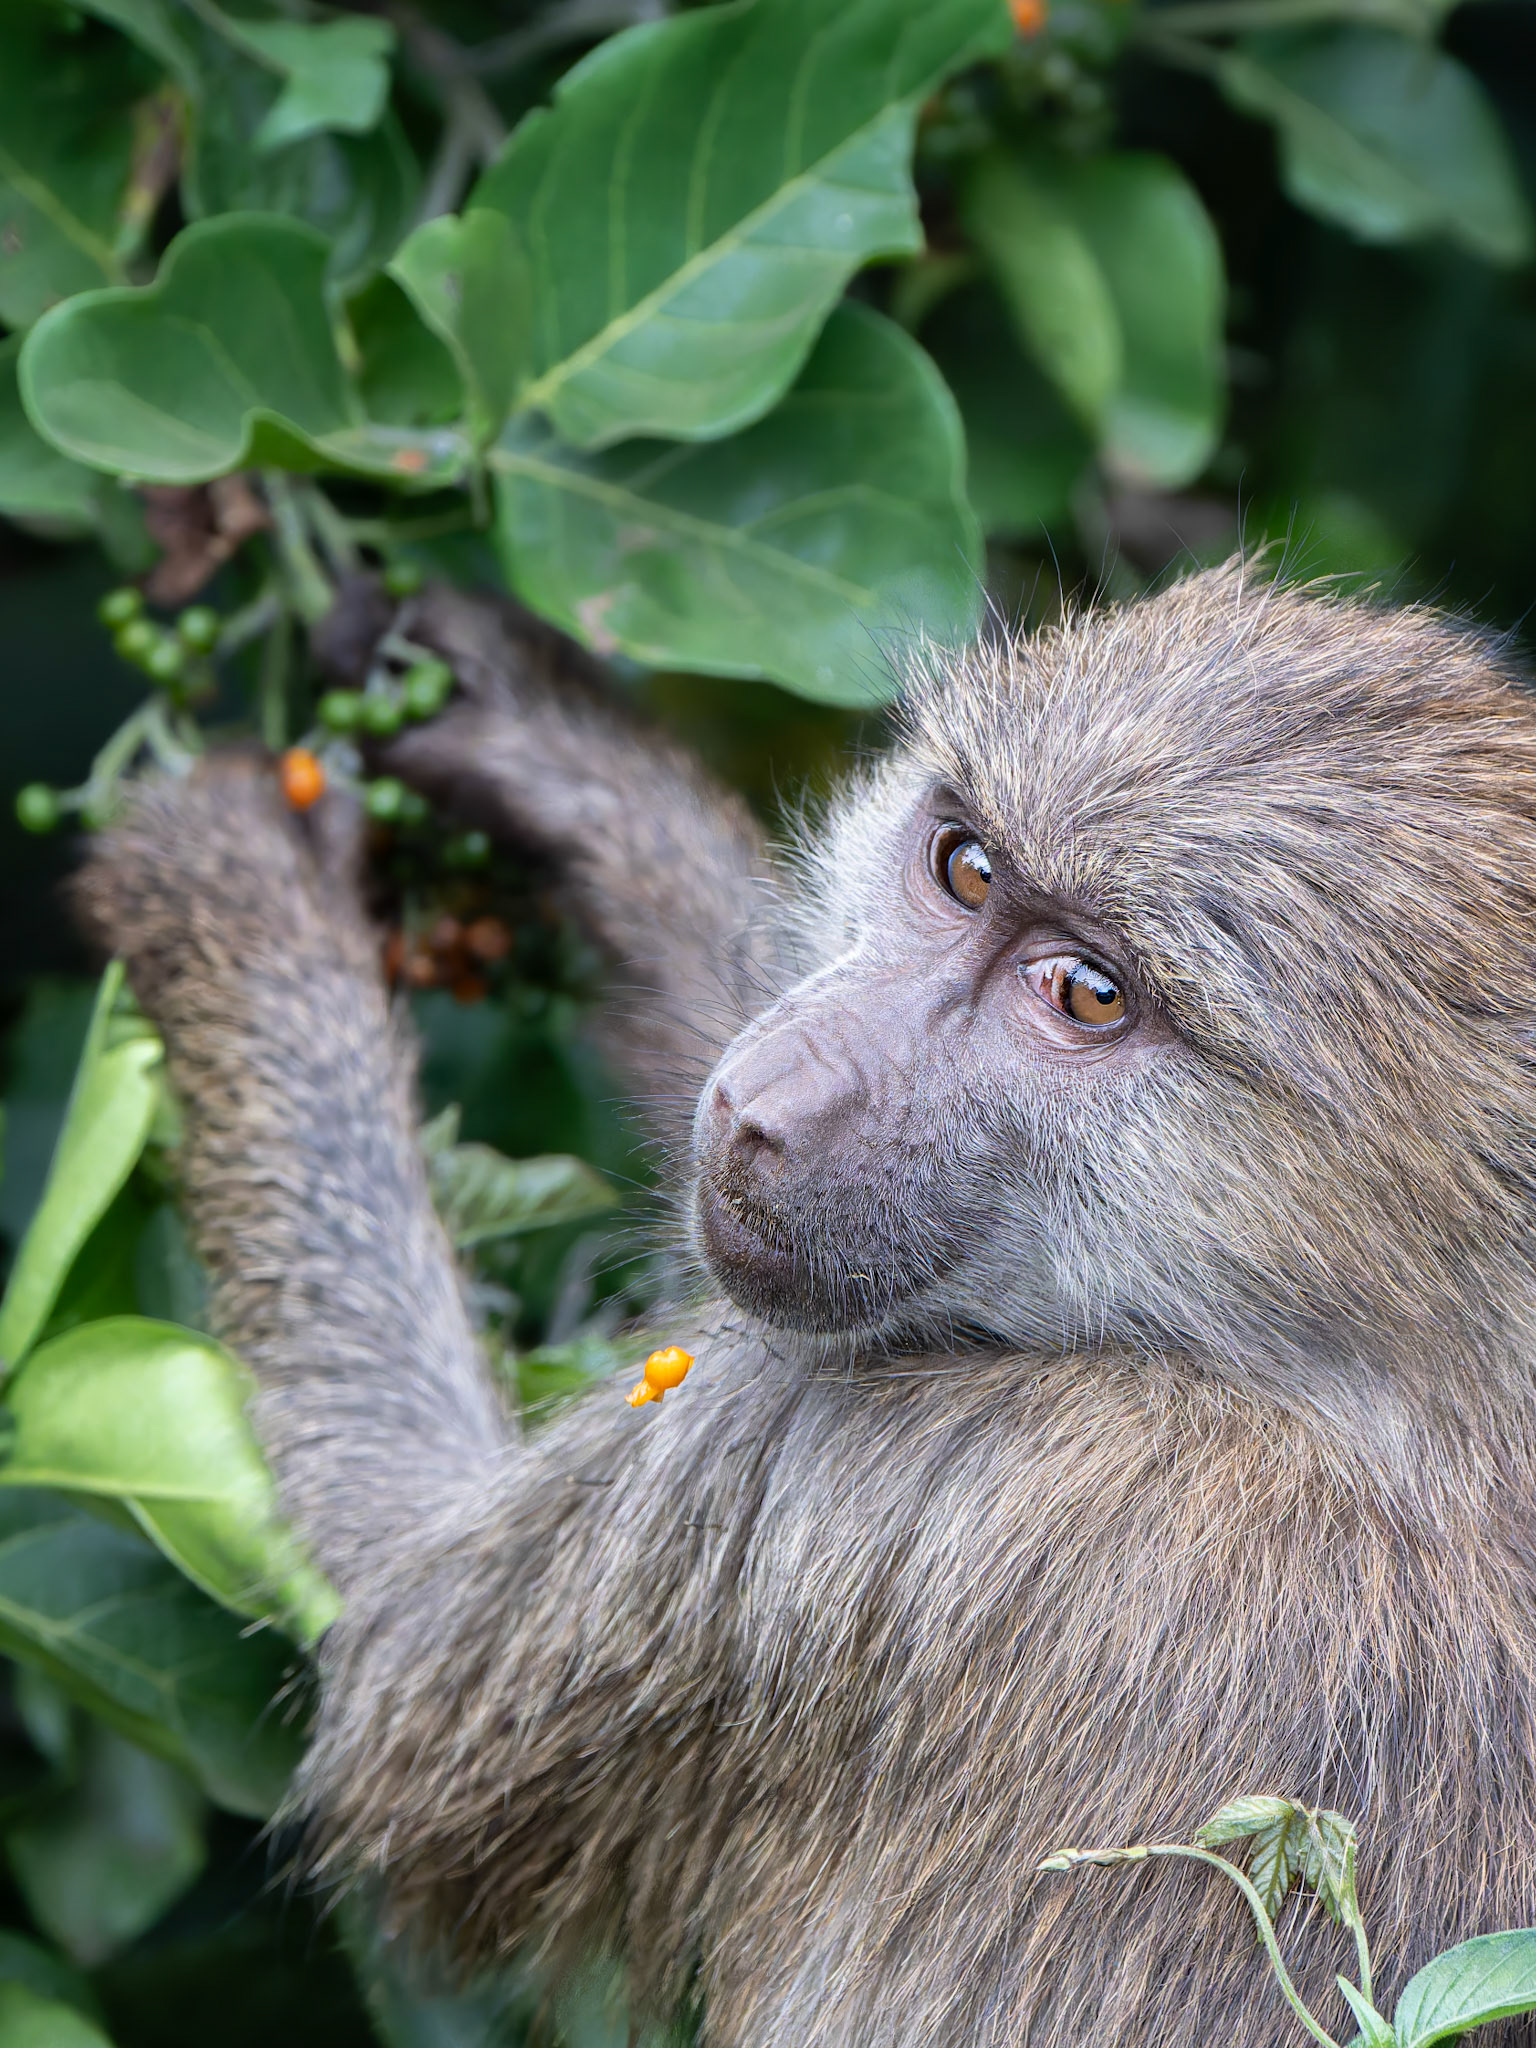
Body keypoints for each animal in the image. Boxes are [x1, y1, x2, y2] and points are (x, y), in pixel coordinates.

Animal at [75, 561, 1536, 2048]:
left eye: (1087, 994)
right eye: (964, 867)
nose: (763, 1108)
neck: (1374, 1369)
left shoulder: (886, 1481)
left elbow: (396, 1645)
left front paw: (237, 880)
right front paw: (536, 731)